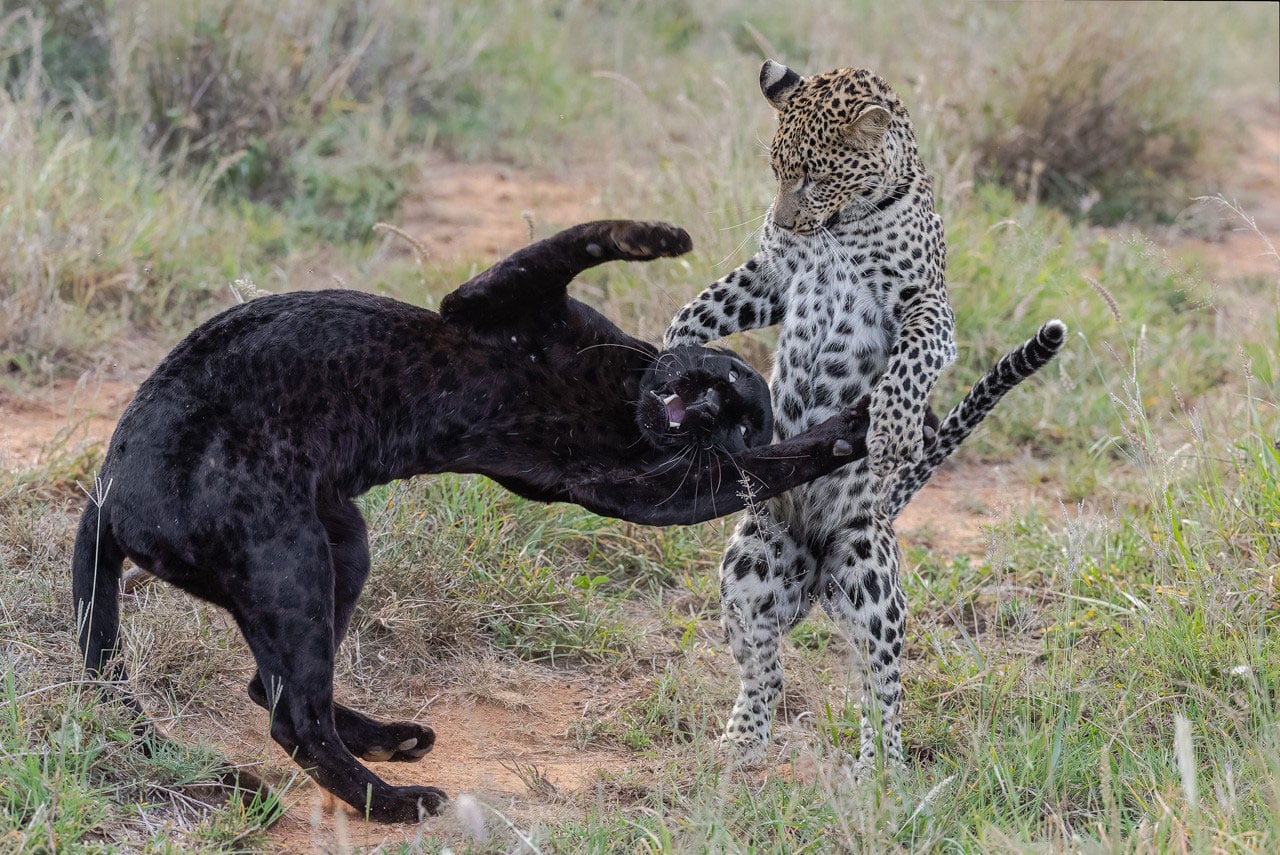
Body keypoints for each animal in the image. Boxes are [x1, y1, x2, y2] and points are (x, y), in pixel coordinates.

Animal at [71, 220, 885, 823]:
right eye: (730, 390)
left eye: (744, 420)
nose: (712, 417)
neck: (622, 404)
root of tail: (105, 494)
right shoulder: (492, 300)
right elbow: (572, 243)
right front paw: (662, 237)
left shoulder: (621, 487)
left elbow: (752, 474)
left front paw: (846, 436)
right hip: (290, 558)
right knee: (290, 711)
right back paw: (397, 798)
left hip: (330, 549)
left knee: (281, 699)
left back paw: (393, 761)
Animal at [664, 60, 964, 772]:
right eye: (776, 170)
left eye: (815, 176)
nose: (783, 220)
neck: (842, 225)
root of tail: (813, 571)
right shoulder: (772, 277)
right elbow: (706, 304)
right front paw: (674, 354)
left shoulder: (927, 304)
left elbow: (911, 360)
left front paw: (892, 429)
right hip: (750, 562)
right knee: (764, 666)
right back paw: (744, 742)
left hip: (868, 571)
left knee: (881, 682)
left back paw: (882, 766)